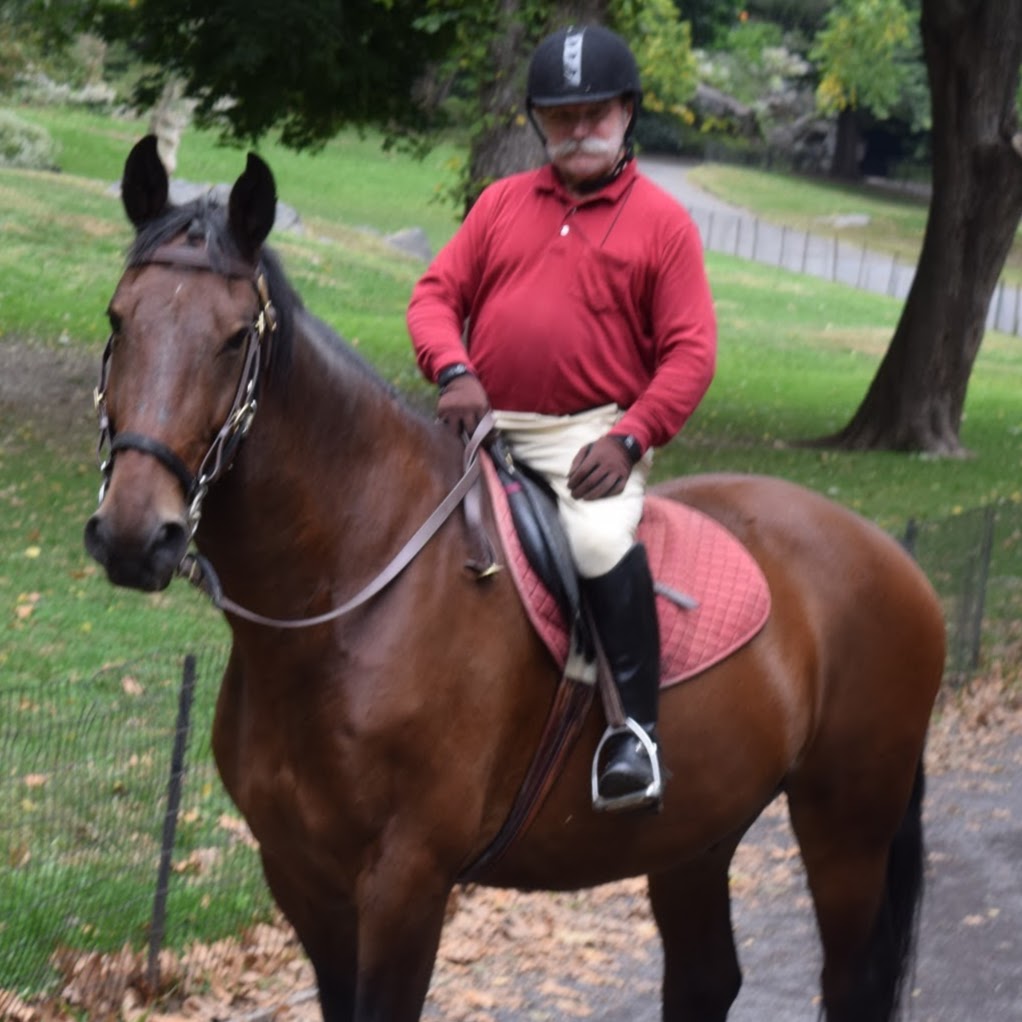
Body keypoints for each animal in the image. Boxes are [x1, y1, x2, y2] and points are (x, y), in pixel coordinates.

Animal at [83, 135, 944, 1021]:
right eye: (118, 318)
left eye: (232, 339)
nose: (135, 534)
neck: (347, 599)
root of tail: (889, 554)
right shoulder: (301, 879)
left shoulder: (406, 883)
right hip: (696, 834)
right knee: (706, 978)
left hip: (845, 829)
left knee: (848, 981)